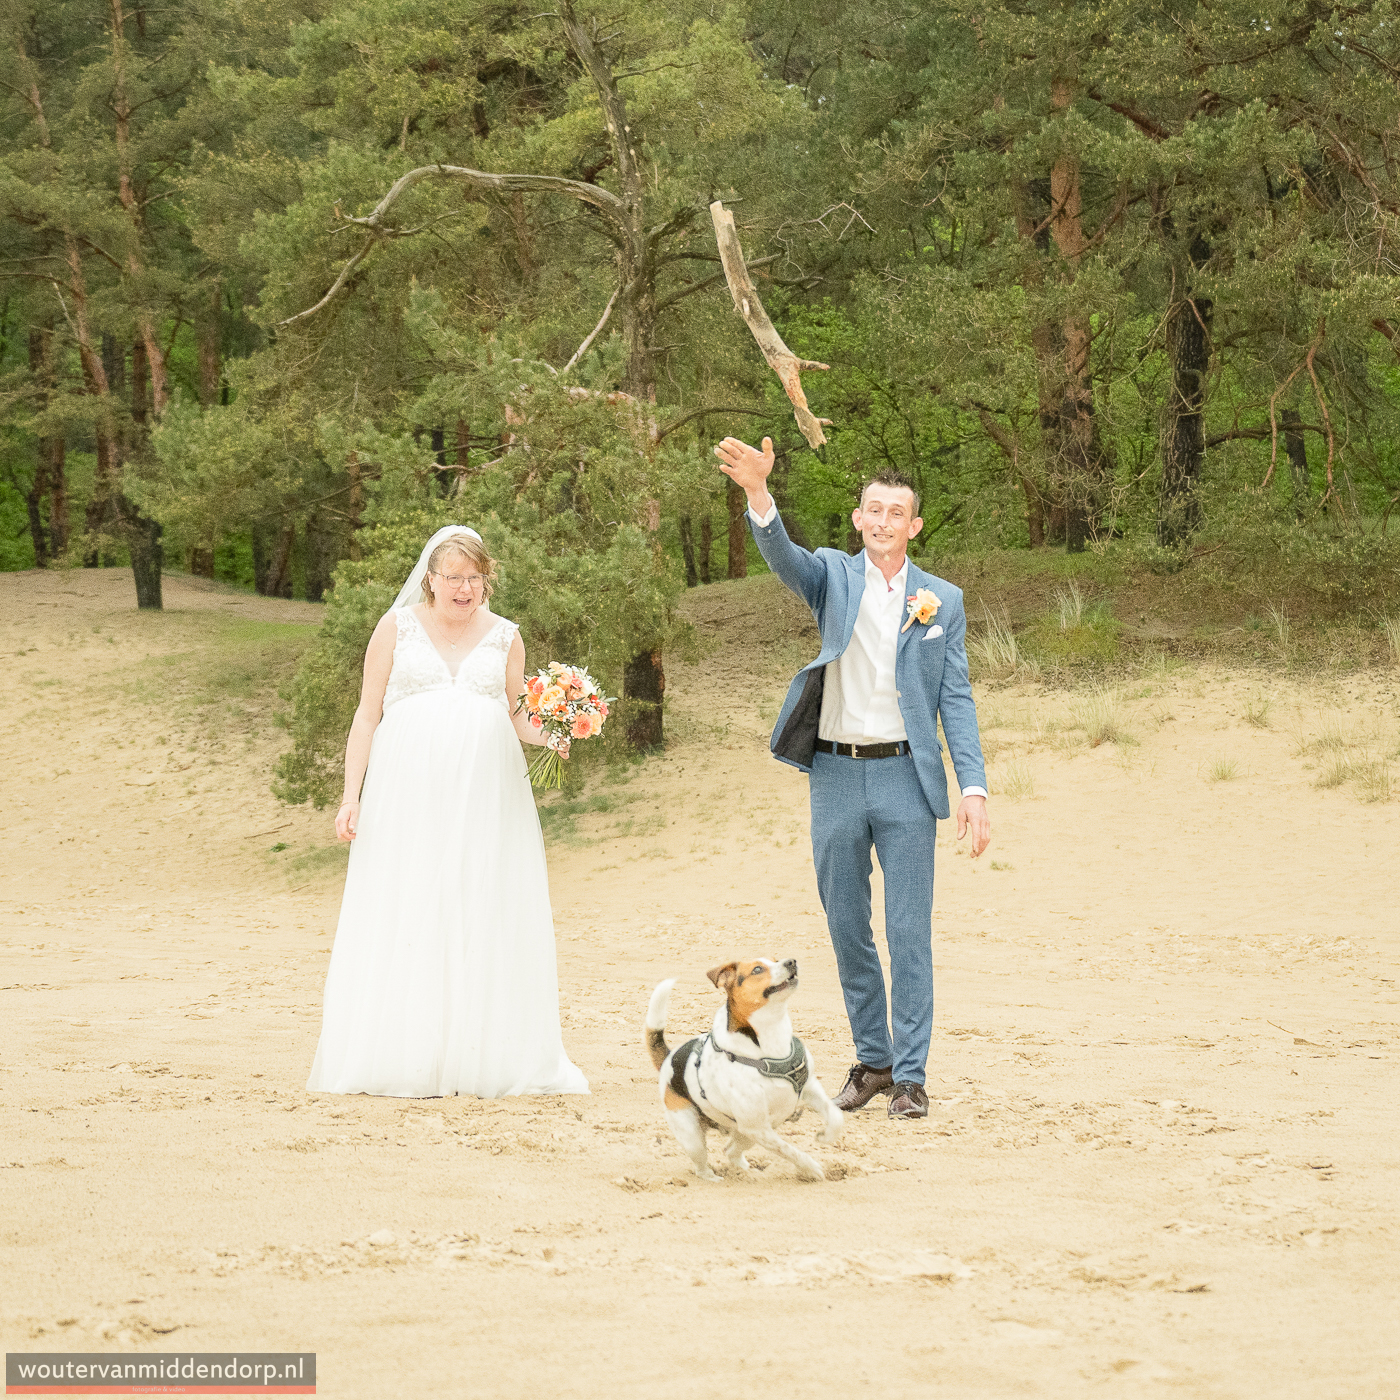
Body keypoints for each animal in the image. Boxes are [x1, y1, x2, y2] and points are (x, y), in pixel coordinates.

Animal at [644, 952, 840, 1181]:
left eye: (775, 960)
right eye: (757, 969)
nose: (791, 962)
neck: (770, 1038)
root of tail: (669, 1057)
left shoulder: (809, 1088)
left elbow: (836, 1116)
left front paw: (825, 1136)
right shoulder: (757, 1127)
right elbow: (788, 1150)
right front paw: (810, 1168)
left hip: (744, 1133)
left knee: (730, 1151)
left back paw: (745, 1170)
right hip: (694, 1136)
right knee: (702, 1164)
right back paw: (713, 1177)